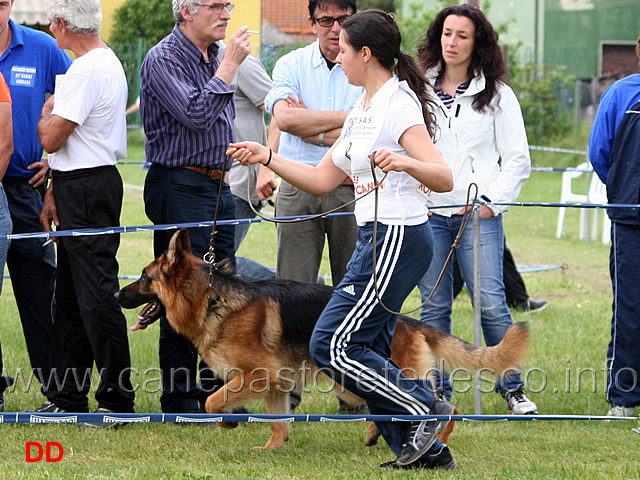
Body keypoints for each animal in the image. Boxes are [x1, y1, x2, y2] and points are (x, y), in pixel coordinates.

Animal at [116, 229, 528, 450]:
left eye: (143, 277)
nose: (116, 295)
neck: (210, 299)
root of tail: (408, 322)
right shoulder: (276, 385)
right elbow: (279, 424)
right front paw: (271, 448)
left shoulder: (255, 376)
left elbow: (212, 401)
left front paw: (229, 421)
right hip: (353, 383)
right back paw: (380, 434)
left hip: (361, 378)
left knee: (442, 405)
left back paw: (435, 432)